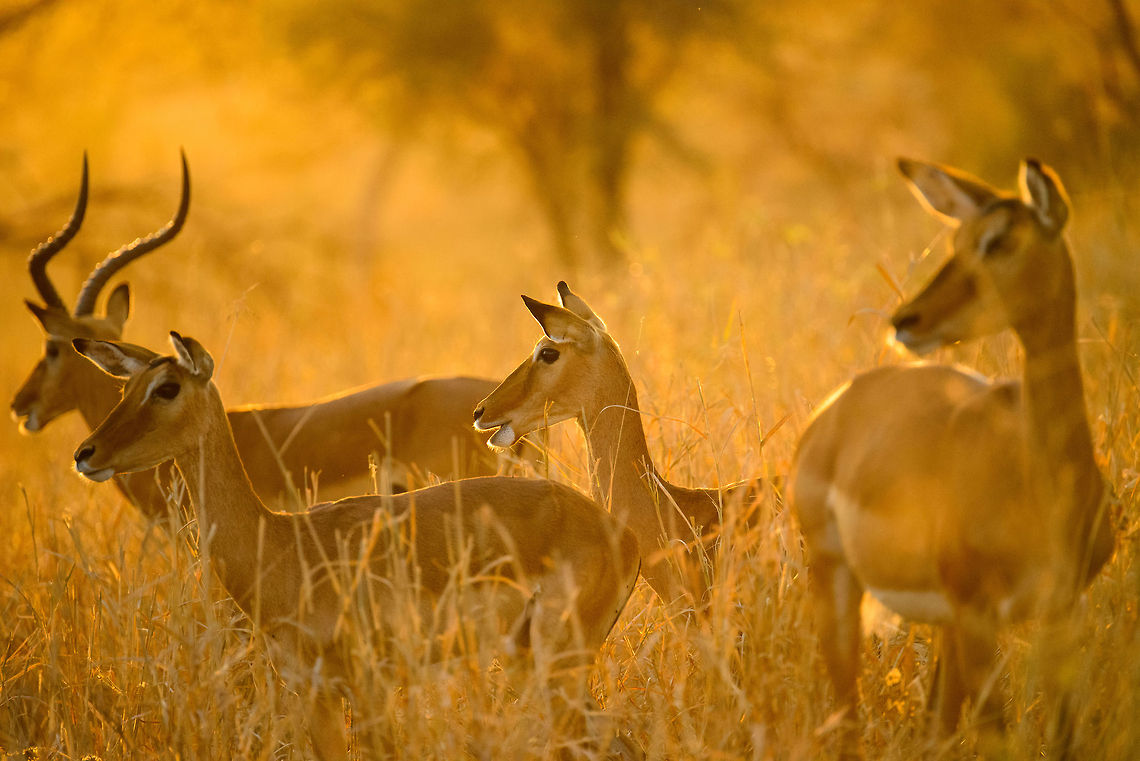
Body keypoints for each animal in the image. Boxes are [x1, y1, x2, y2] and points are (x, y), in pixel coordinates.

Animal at [71, 332, 642, 761]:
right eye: (125, 387)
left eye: (166, 388)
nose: (86, 453)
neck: (281, 546)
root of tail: (620, 532)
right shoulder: (314, 694)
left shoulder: (367, 687)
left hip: (558, 662)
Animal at [788, 159, 1115, 755]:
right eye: (957, 239)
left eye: (999, 240)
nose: (906, 319)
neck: (1041, 484)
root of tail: (835, 407)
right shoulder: (978, 615)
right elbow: (998, 735)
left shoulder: (1061, 612)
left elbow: (1063, 738)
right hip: (837, 582)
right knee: (847, 718)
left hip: (945, 628)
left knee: (933, 727)